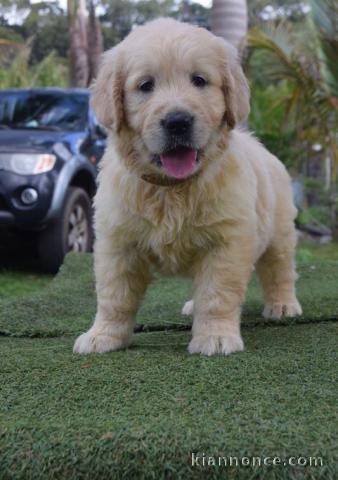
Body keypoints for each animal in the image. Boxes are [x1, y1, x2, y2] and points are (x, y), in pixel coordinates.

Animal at [73, 18, 302, 356]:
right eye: (146, 85)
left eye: (199, 80)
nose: (177, 121)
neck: (171, 188)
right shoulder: (117, 243)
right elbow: (115, 296)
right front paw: (103, 336)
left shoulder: (226, 242)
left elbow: (217, 294)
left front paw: (215, 336)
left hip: (280, 232)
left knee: (280, 269)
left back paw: (284, 305)